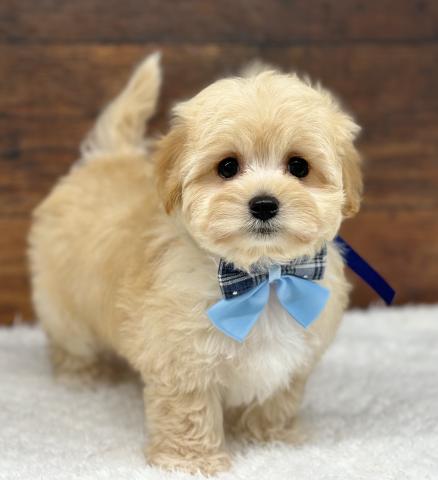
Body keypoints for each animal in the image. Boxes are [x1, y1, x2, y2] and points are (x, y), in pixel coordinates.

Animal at [28, 53, 362, 475]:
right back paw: (83, 377)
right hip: (64, 305)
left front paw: (271, 440)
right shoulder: (182, 363)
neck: (261, 277)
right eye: (227, 167)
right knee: (69, 341)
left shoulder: (291, 363)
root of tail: (108, 156)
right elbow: (189, 411)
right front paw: (191, 462)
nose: (264, 204)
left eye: (299, 166)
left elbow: (276, 400)